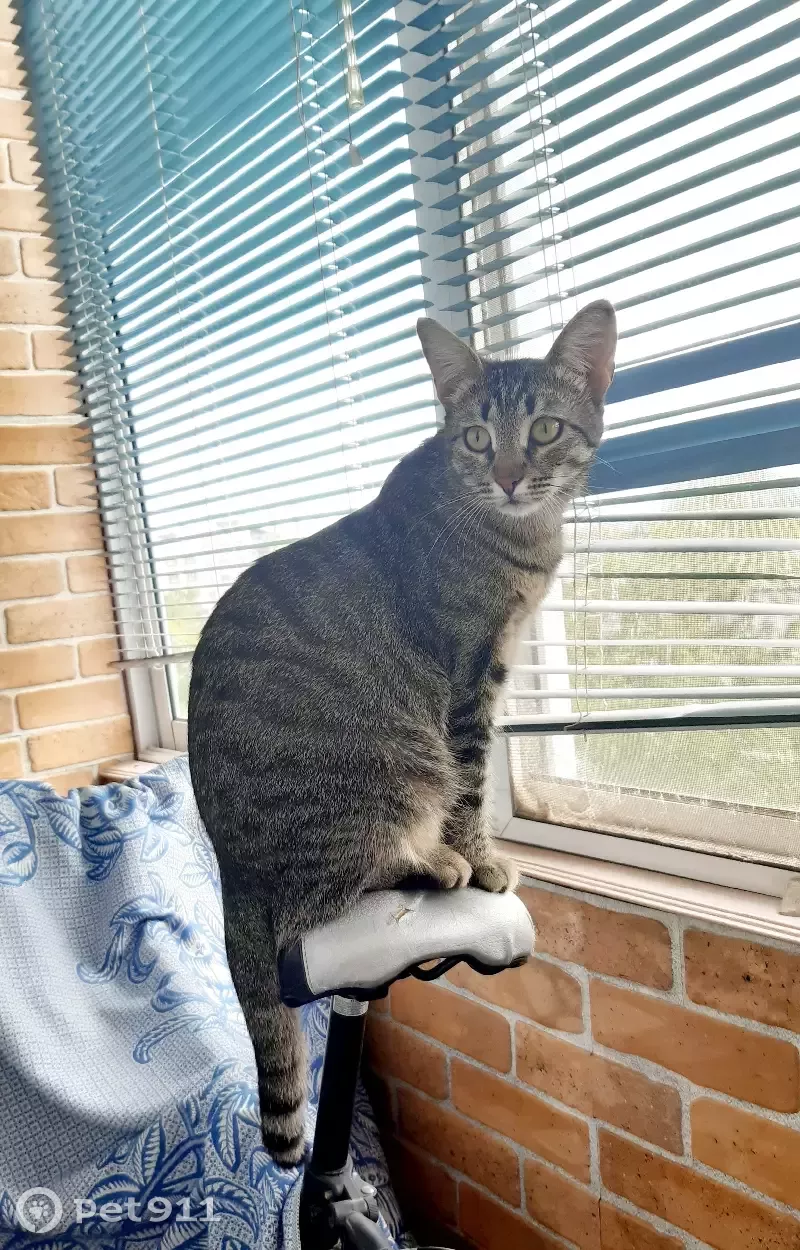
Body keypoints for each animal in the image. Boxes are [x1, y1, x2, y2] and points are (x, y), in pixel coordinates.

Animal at [188, 300, 616, 1165]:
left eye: (545, 429)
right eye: (477, 437)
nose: (510, 475)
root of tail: (231, 864)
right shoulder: (469, 676)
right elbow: (472, 783)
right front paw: (483, 860)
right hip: (391, 770)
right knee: (333, 887)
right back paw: (437, 864)